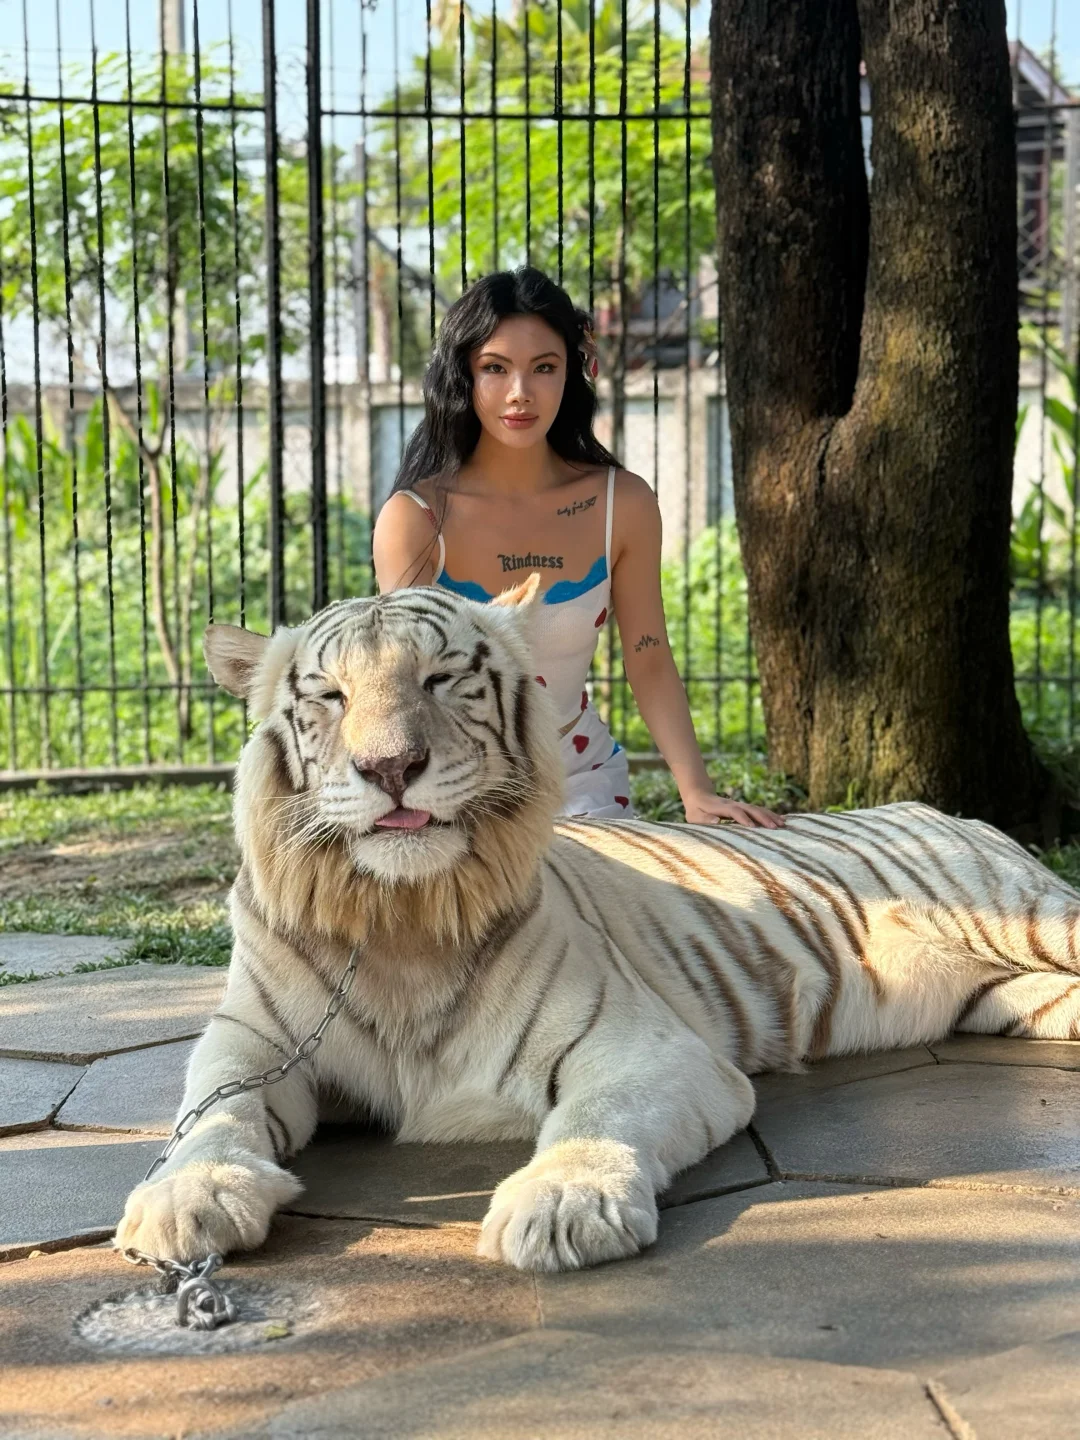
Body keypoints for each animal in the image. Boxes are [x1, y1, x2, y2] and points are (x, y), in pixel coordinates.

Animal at [116, 577, 1080, 1274]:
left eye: (439, 678)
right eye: (329, 694)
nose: (391, 766)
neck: (401, 918)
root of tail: (943, 805)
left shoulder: (645, 1048)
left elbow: (594, 1116)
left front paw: (561, 1206)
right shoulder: (250, 1042)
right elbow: (210, 1117)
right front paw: (183, 1198)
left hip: (1035, 921)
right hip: (1016, 997)